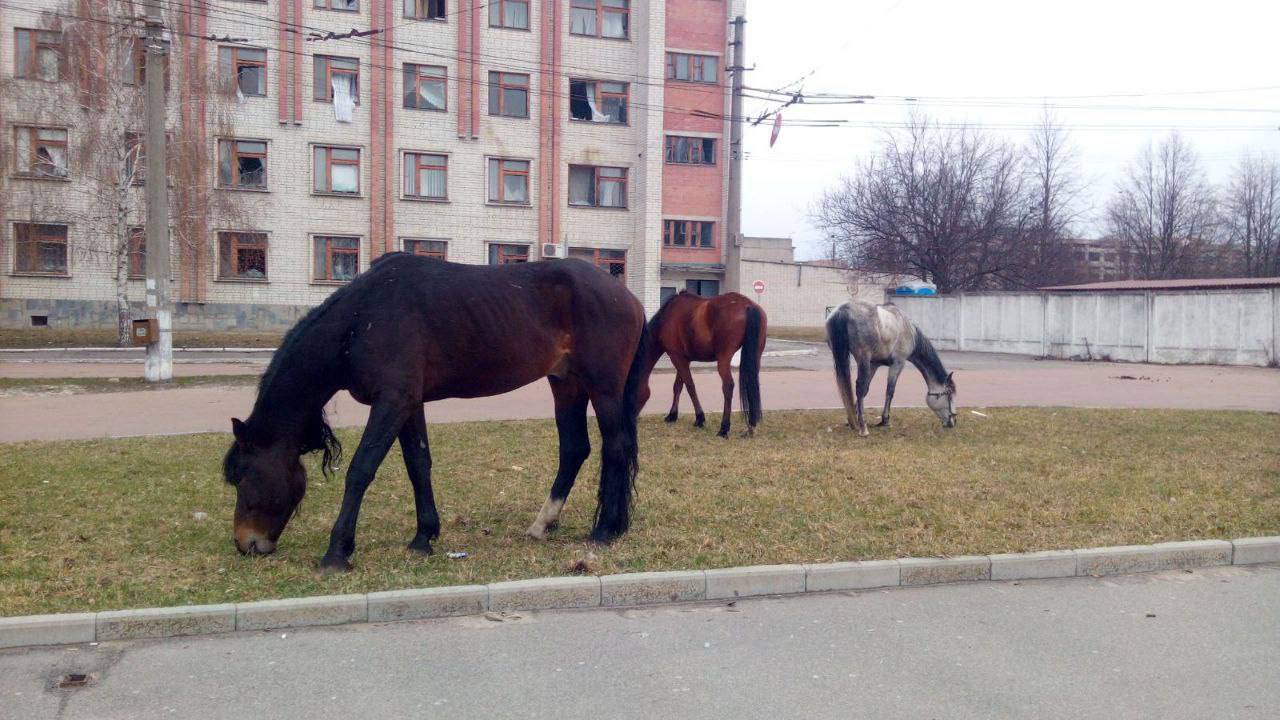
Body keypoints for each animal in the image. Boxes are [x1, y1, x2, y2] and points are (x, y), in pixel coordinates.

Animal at [220, 254, 650, 568]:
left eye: (244, 476)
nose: (245, 543)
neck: (362, 319)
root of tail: (627, 296)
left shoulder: (392, 401)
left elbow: (361, 469)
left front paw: (337, 552)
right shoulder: (409, 405)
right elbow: (418, 465)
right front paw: (423, 537)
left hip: (603, 388)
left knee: (615, 447)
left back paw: (605, 530)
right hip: (566, 384)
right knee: (575, 449)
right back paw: (544, 524)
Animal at [637, 292, 762, 438]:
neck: (666, 317)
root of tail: (747, 305)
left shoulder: (676, 357)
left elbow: (690, 386)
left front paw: (699, 418)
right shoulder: (684, 359)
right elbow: (678, 386)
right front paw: (672, 415)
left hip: (724, 359)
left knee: (728, 386)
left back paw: (724, 428)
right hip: (755, 356)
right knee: (752, 384)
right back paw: (751, 427)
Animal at [824, 299, 957, 435]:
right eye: (949, 394)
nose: (953, 421)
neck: (909, 330)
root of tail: (843, 310)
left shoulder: (874, 364)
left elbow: (866, 389)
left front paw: (854, 416)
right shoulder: (897, 364)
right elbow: (889, 391)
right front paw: (885, 420)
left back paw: (854, 422)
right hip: (863, 359)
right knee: (859, 387)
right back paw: (863, 427)